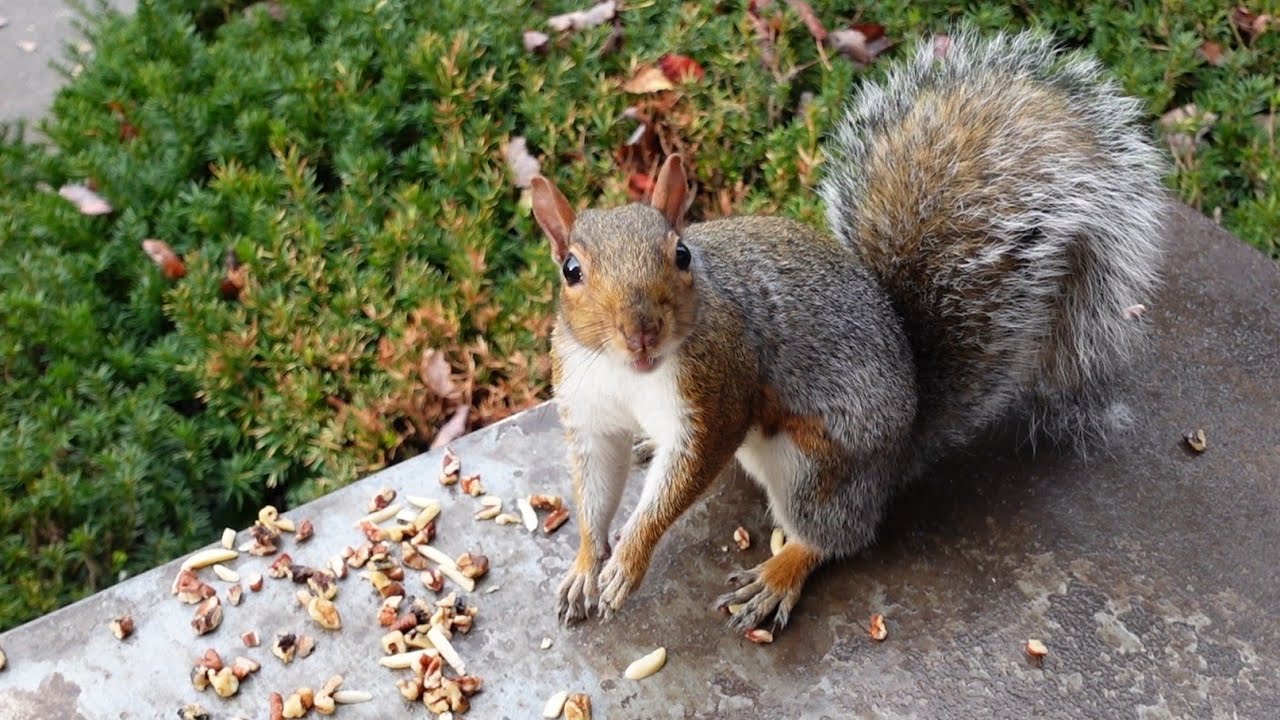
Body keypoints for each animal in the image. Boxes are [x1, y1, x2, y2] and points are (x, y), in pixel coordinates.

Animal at [528, 30, 1167, 633]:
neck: (628, 374)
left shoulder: (715, 394)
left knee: (836, 535)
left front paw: (628, 561)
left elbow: (684, 477)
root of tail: (903, 448)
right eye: (571, 270)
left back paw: (779, 574)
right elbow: (595, 485)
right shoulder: (587, 405)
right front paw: (585, 565)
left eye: (681, 255)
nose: (642, 331)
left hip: (815, 467)